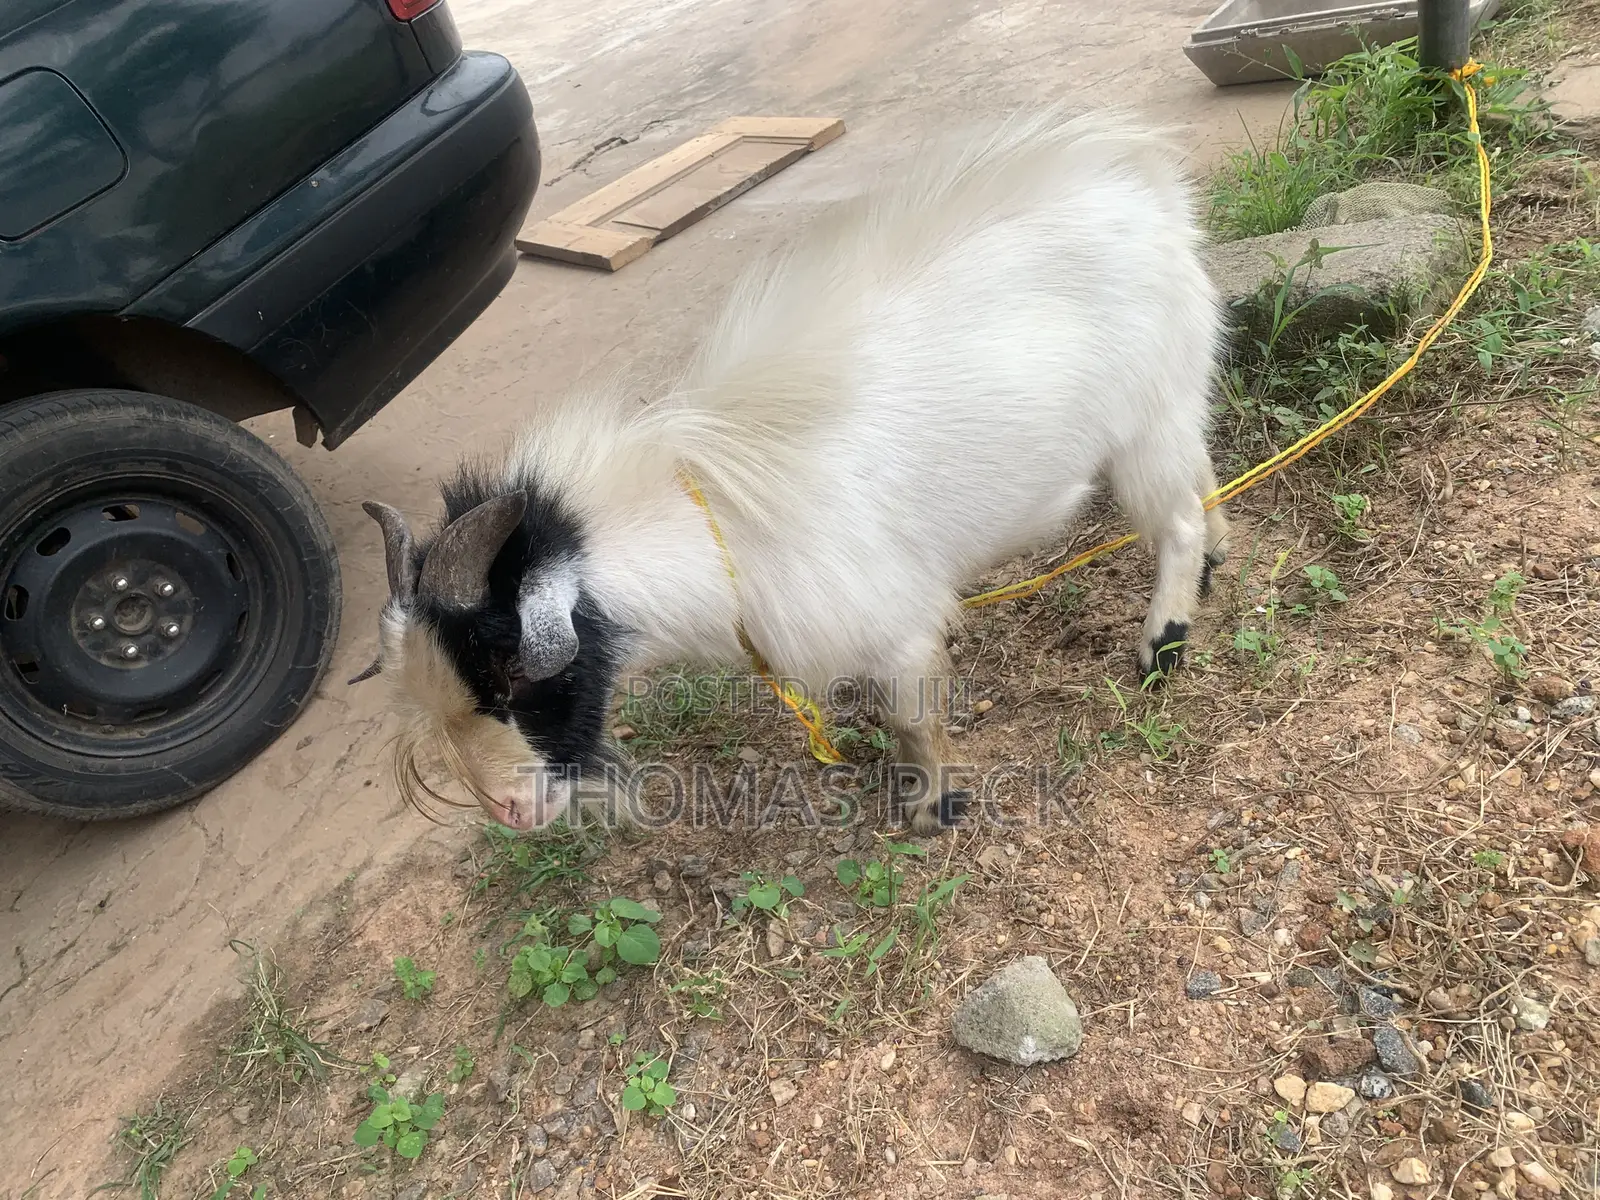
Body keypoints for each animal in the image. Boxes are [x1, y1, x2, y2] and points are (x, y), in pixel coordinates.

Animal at [355, 107, 1230, 836]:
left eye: (509, 675)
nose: (508, 810)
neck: (711, 516)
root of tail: (1142, 178)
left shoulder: (895, 630)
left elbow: (914, 717)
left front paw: (934, 807)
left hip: (1145, 421)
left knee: (1175, 518)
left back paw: (1164, 643)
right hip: (1178, 392)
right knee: (1205, 470)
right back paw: (1220, 559)